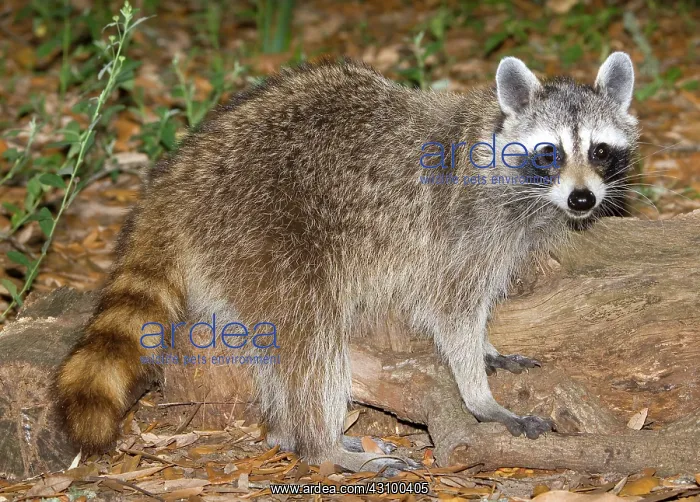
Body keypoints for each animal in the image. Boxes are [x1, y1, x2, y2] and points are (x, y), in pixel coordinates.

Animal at [54, 53, 638, 471]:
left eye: (600, 151)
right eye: (550, 153)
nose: (582, 199)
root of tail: (174, 181)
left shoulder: (500, 237)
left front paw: (488, 349)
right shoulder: (458, 228)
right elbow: (450, 312)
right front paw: (479, 395)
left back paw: (288, 431)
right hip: (263, 228)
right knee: (309, 334)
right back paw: (319, 442)